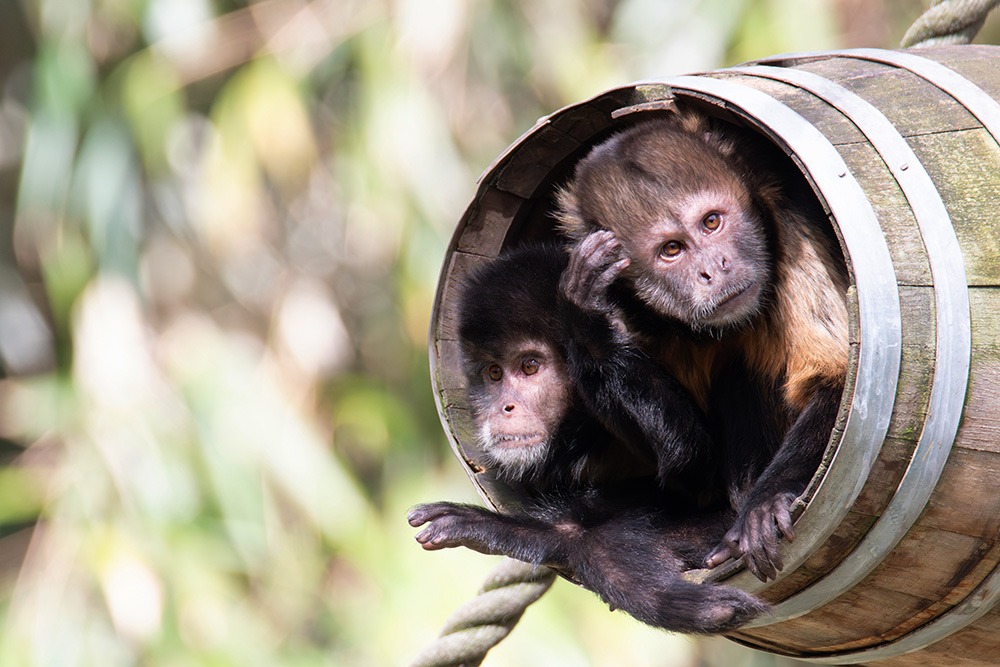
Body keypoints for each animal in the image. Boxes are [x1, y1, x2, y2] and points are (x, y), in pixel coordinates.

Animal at [410, 247, 768, 636]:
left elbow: (696, 465)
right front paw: (512, 528)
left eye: (530, 366)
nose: (505, 407)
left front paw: (585, 320)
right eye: (494, 374)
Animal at [560, 109, 848, 580]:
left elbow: (837, 381)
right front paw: (585, 316)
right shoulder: (635, 314)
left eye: (712, 222)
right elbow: (692, 467)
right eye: (672, 249)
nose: (715, 267)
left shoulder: (791, 227)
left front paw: (766, 503)